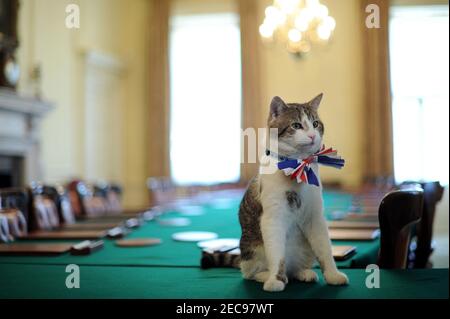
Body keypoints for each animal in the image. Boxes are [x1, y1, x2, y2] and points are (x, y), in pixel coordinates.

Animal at [239, 93, 348, 292]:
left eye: (315, 123)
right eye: (296, 126)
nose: (312, 135)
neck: (298, 167)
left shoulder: (315, 217)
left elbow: (325, 249)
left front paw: (332, 275)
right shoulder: (273, 218)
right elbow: (277, 254)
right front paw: (275, 280)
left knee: (295, 267)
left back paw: (302, 272)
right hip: (252, 250)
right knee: (250, 273)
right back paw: (265, 275)